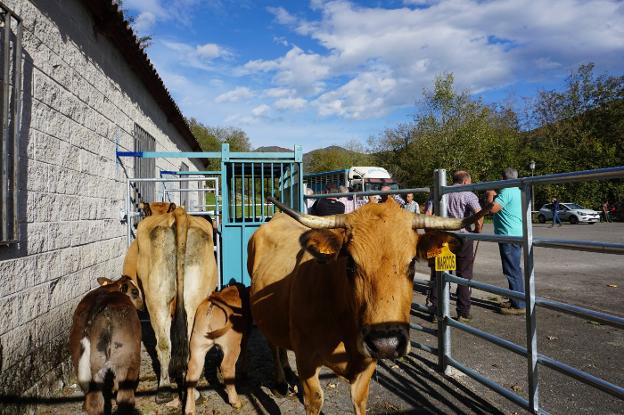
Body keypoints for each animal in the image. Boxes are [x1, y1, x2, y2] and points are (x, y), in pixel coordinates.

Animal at [69, 276, 144, 415]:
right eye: (135, 292)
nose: (142, 306)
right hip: (127, 358)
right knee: (124, 396)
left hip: (91, 362)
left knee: (94, 398)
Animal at [184, 284, 252, 414]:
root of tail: (212, 304)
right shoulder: (246, 335)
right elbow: (245, 354)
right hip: (233, 345)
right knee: (227, 366)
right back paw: (235, 401)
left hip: (197, 348)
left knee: (191, 374)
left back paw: (189, 409)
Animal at [247, 197, 488, 414]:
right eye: (351, 264)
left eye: (412, 264)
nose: (387, 344)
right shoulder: (306, 358)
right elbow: (314, 400)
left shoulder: (368, 362)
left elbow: (359, 399)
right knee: (273, 345)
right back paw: (280, 382)